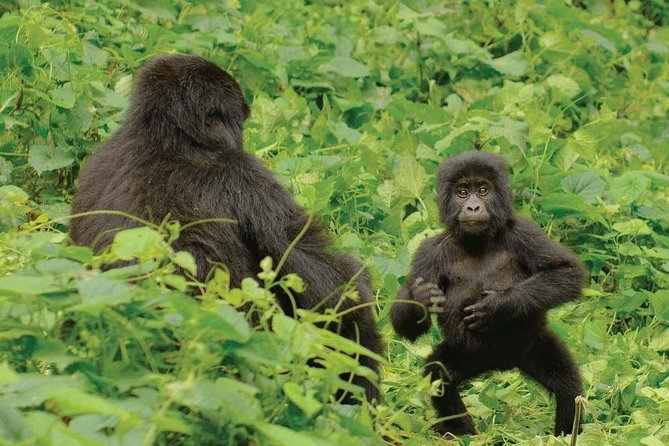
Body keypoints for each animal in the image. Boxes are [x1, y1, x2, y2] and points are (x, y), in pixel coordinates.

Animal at [390, 150, 584, 436]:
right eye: (462, 192)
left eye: (482, 190)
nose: (472, 207)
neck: (477, 240)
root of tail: (501, 365)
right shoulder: (428, 253)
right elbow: (409, 328)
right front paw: (420, 298)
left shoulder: (523, 231)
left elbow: (567, 273)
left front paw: (499, 306)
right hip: (469, 355)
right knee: (439, 376)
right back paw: (464, 434)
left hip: (530, 344)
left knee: (567, 383)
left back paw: (565, 434)